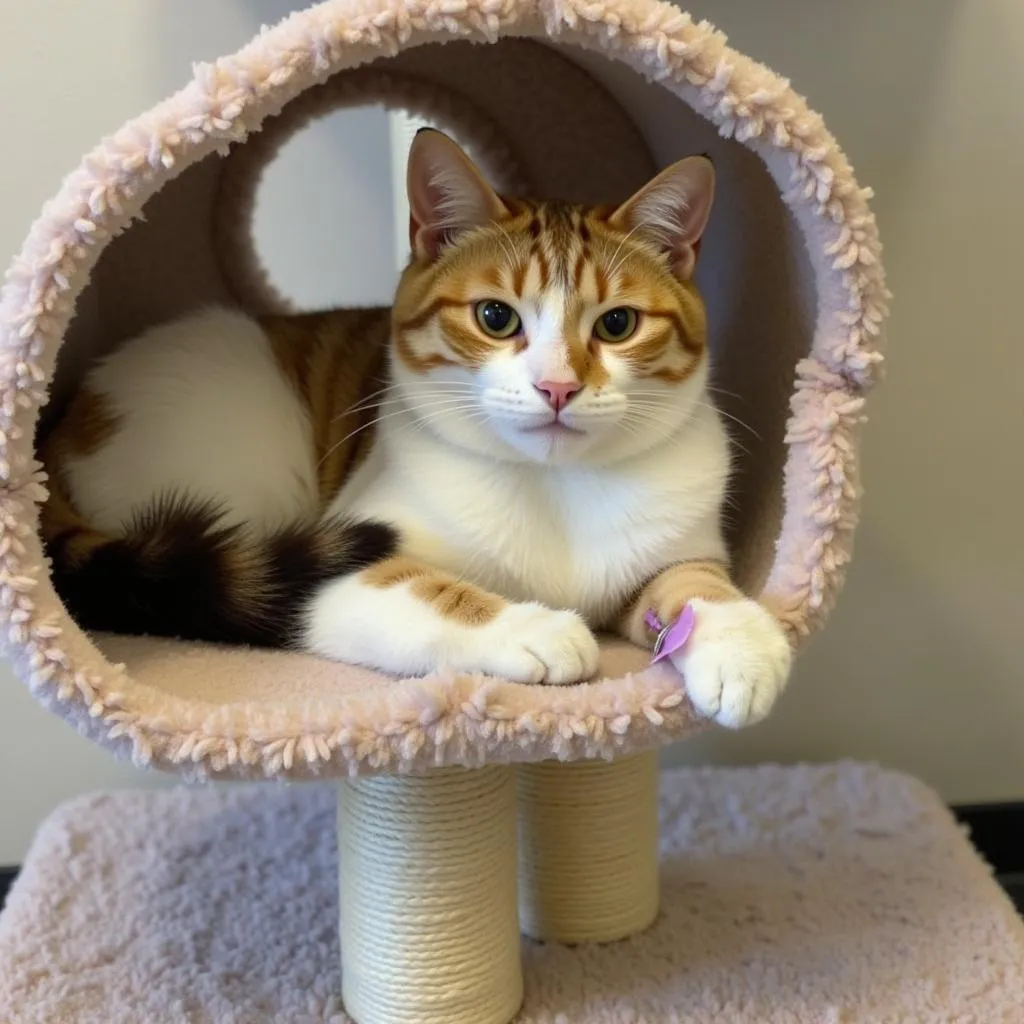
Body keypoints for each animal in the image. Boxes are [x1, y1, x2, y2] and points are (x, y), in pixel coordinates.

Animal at [37, 128, 790, 733]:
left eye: (617, 324)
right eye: (495, 317)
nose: (557, 386)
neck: (555, 486)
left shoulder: (672, 553)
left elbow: (698, 586)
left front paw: (742, 647)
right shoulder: (342, 571)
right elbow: (438, 591)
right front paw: (533, 625)